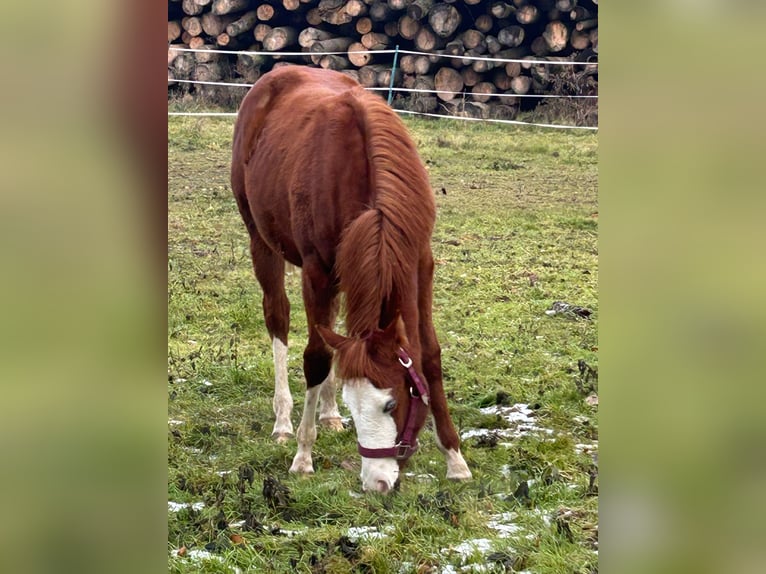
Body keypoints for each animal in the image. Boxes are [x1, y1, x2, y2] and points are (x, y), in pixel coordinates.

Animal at [228, 65, 472, 492]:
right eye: (356, 407)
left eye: (391, 403)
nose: (377, 483)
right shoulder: (316, 272)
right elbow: (316, 357)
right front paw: (303, 456)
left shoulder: (419, 264)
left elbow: (429, 355)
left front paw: (455, 459)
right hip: (261, 241)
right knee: (279, 318)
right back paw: (284, 420)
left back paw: (326, 414)